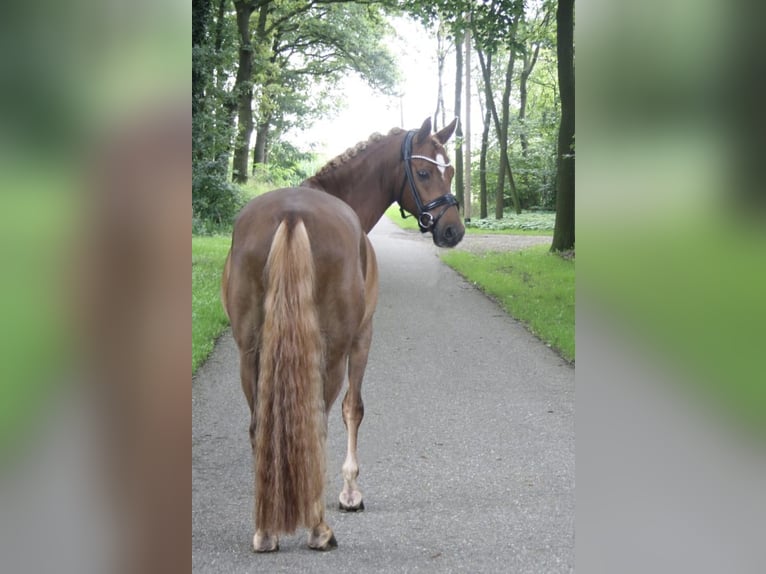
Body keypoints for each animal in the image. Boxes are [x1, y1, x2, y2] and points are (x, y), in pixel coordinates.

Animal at [219, 117, 464, 552]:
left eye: (449, 170)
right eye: (423, 173)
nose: (454, 230)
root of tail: (291, 216)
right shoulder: (363, 336)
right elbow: (355, 409)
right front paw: (351, 493)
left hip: (249, 353)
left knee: (258, 425)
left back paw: (265, 529)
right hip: (331, 352)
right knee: (317, 423)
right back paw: (318, 528)